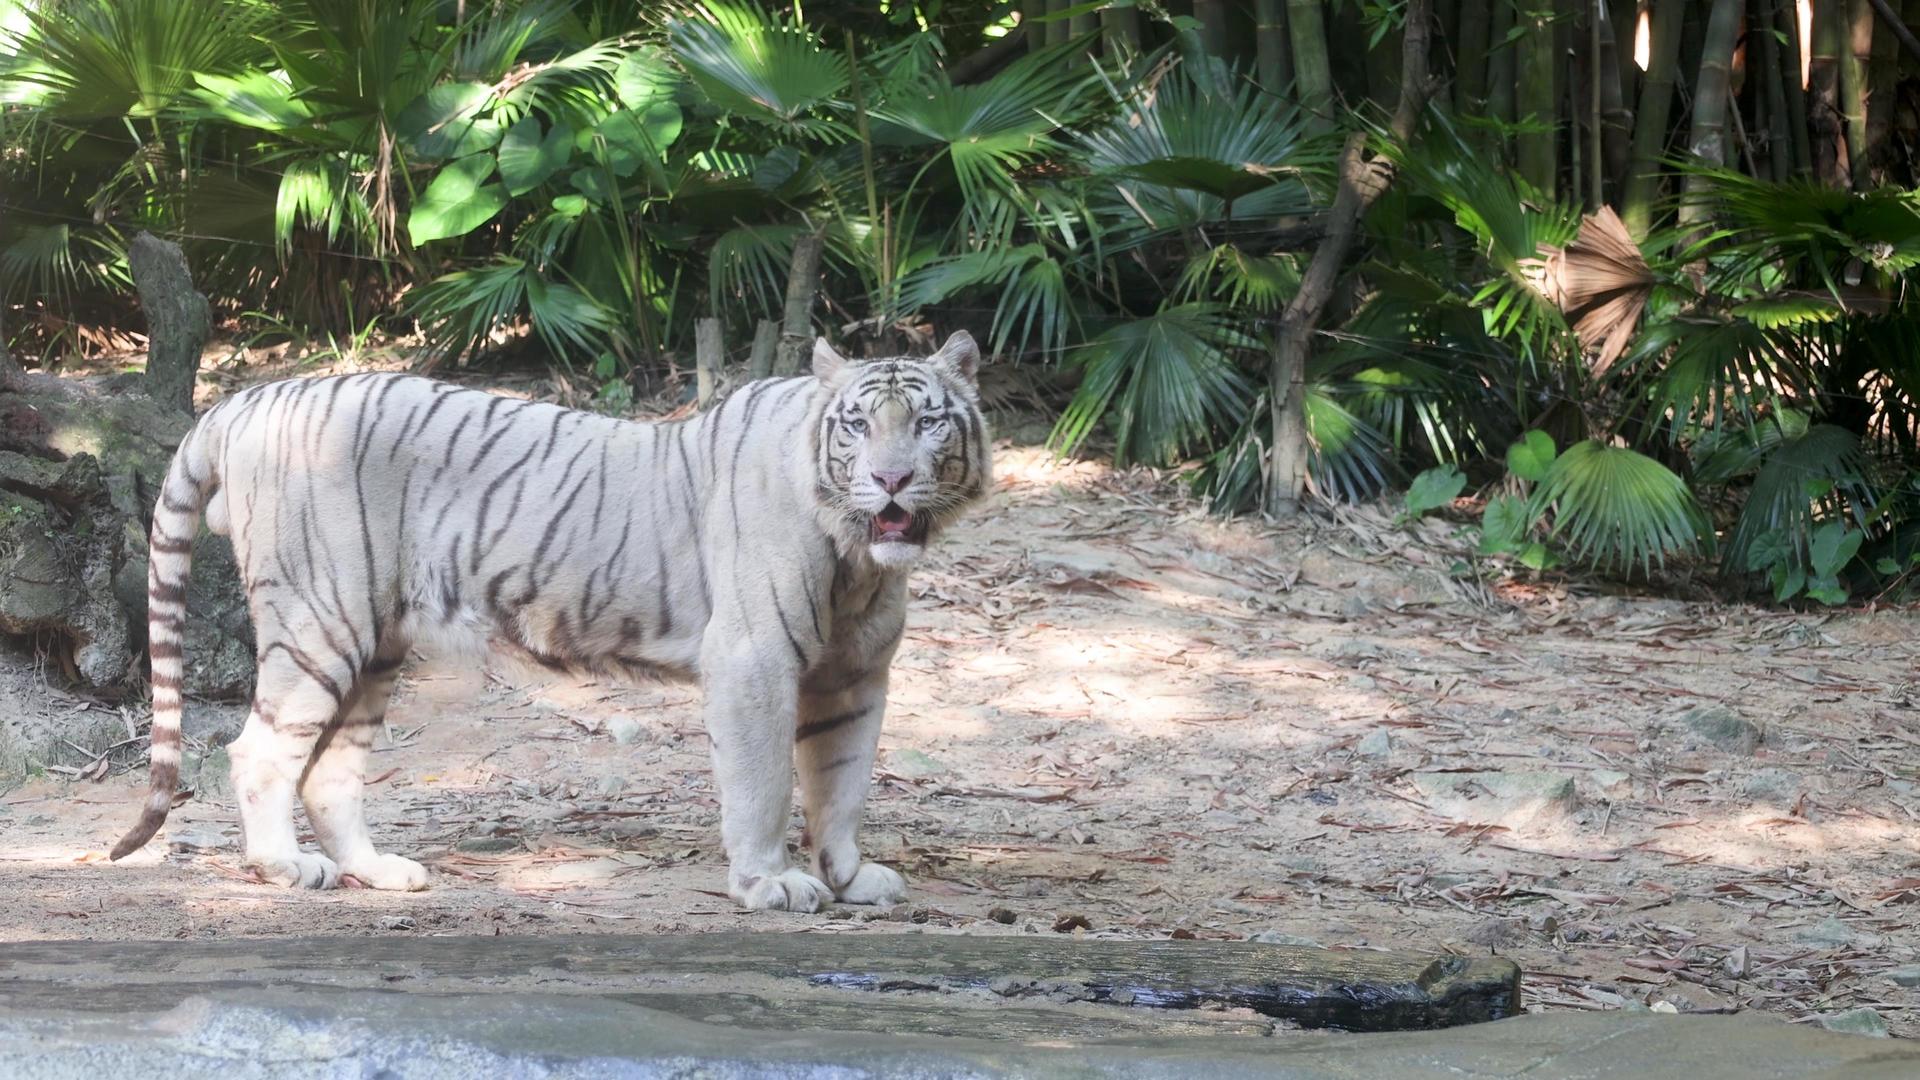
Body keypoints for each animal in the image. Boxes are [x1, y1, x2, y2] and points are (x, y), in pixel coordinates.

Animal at [108, 328, 990, 907]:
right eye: (858, 424)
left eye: (928, 421)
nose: (891, 480)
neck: (858, 560)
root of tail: (248, 398)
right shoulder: (754, 660)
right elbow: (766, 783)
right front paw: (770, 883)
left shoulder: (854, 675)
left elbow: (842, 782)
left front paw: (850, 876)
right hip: (322, 624)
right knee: (258, 751)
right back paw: (285, 871)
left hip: (375, 641)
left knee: (329, 769)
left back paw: (381, 872)